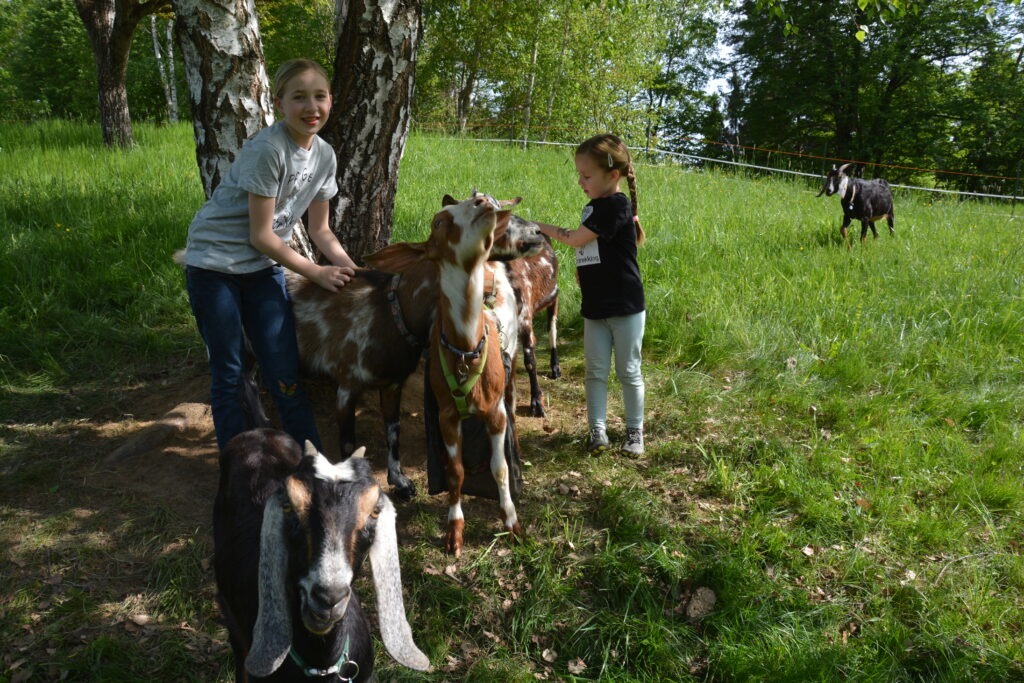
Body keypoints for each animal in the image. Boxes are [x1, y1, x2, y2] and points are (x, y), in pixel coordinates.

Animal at [287, 200, 544, 502]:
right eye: (439, 222)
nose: (538, 232)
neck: (394, 312)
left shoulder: (393, 382)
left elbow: (393, 431)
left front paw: (400, 481)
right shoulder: (347, 382)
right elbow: (348, 443)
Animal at [364, 195, 523, 557]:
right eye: (439, 221)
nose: (482, 199)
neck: (465, 349)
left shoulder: (494, 412)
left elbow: (500, 468)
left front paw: (511, 522)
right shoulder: (446, 414)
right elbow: (455, 472)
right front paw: (454, 530)